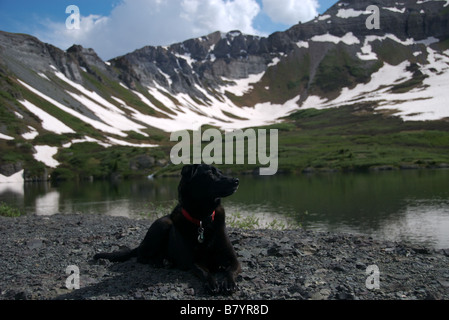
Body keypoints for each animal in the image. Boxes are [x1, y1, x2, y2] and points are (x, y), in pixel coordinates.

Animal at [93, 164, 240, 294]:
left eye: (220, 172)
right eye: (210, 173)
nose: (236, 181)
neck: (202, 219)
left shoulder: (233, 259)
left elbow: (231, 271)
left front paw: (229, 283)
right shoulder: (194, 261)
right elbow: (205, 272)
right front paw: (212, 283)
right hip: (163, 224)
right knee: (141, 256)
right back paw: (157, 262)